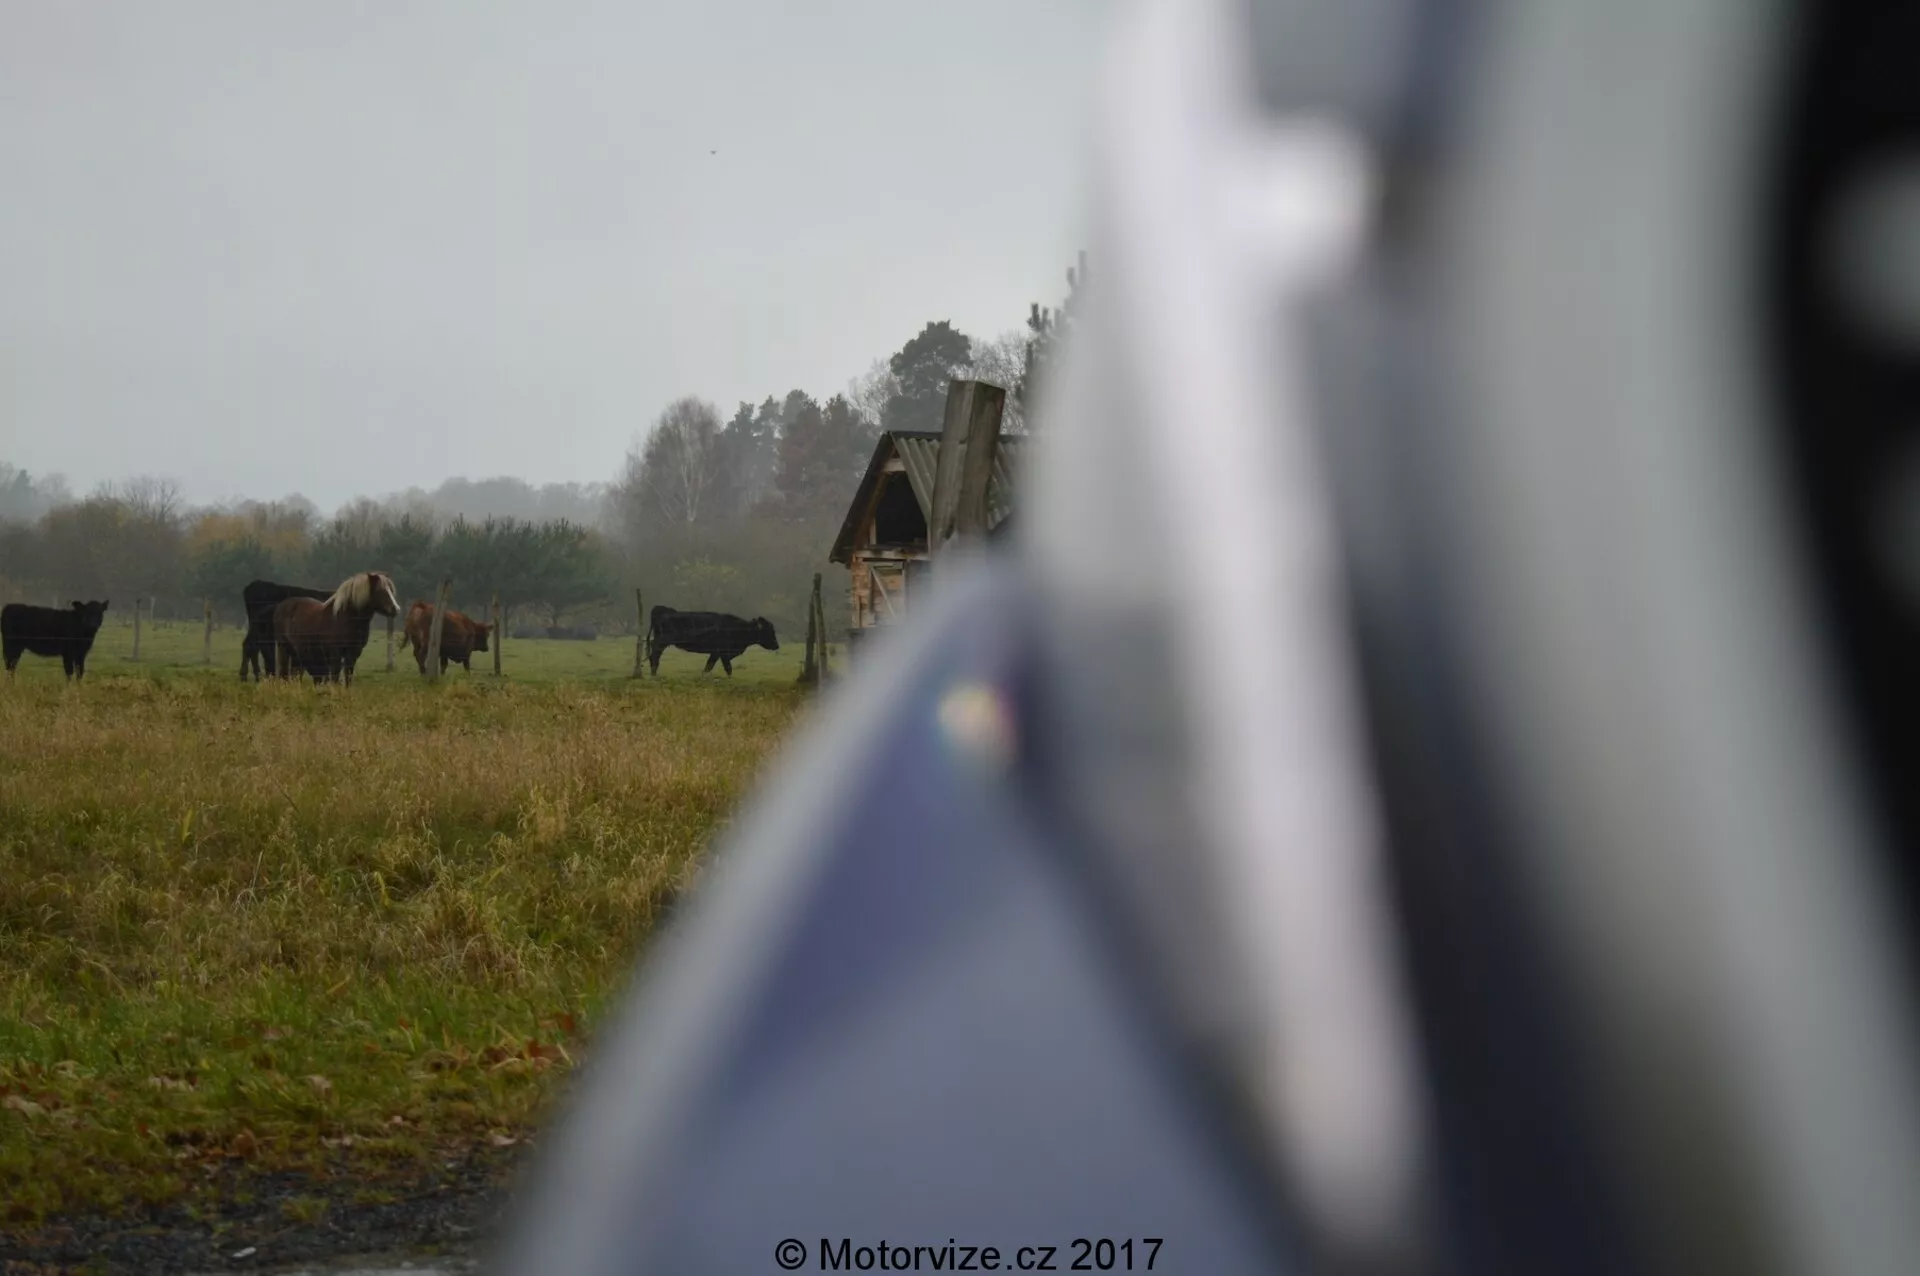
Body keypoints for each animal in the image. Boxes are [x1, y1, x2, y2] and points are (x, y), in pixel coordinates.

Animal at [271, 571, 401, 685]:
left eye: (391, 590)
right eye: (380, 591)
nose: (396, 609)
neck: (347, 619)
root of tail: (281, 606)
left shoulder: (353, 654)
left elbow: (348, 677)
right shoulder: (335, 654)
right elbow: (335, 677)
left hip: (296, 651)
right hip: (284, 647)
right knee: (284, 674)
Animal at [645, 606, 777, 676]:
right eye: (768, 631)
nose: (777, 645)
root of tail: (663, 610)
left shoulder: (717, 653)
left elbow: (710, 666)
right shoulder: (721, 652)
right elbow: (726, 667)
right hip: (662, 641)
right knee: (654, 654)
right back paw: (654, 673)